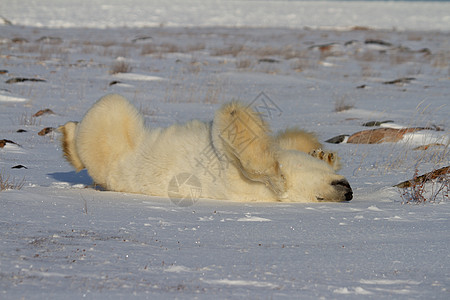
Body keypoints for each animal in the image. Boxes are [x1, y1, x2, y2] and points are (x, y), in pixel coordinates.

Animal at [59, 94, 352, 202]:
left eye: (318, 198)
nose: (347, 192)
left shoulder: (232, 174)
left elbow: (230, 127)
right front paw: (323, 153)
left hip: (114, 146)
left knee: (108, 110)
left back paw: (68, 137)